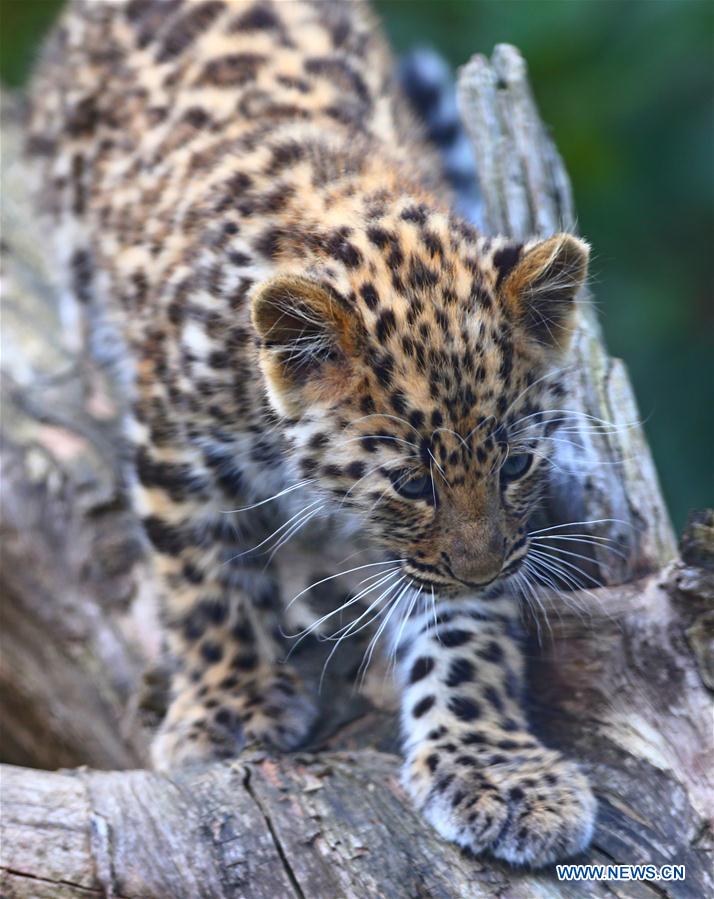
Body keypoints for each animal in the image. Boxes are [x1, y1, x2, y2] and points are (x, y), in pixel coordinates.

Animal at [26, 0, 596, 872]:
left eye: (518, 465)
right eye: (411, 483)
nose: (481, 570)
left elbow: (463, 639)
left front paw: (498, 770)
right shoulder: (177, 450)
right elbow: (208, 582)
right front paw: (230, 705)